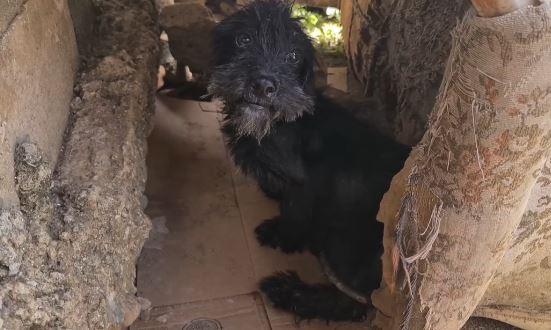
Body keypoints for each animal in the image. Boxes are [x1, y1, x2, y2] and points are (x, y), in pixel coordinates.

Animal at [207, 0, 410, 322]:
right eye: (244, 39)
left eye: (292, 56)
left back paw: (289, 292)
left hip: (344, 240)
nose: (263, 85)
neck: (275, 125)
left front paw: (281, 235)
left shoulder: (307, 183)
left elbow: (294, 214)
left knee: (357, 303)